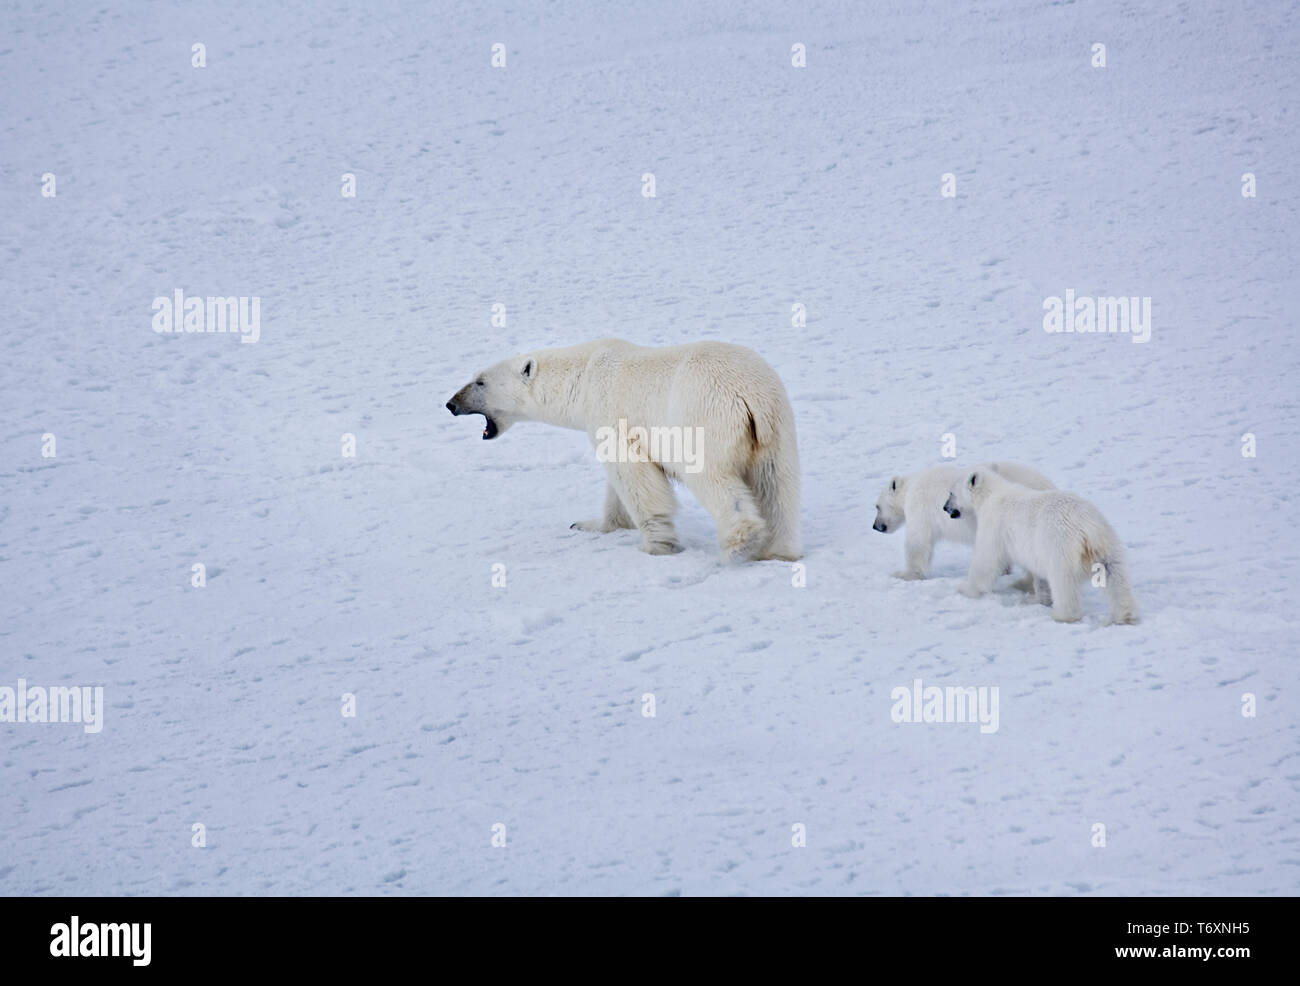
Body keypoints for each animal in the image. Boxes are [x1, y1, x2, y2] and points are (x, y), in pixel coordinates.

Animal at [446, 339, 801, 561]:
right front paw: (590, 524)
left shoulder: (611, 416)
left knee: (712, 476)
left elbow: (634, 477)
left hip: (703, 416)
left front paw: (655, 546)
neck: (582, 377)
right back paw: (778, 550)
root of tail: (748, 396)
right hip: (776, 427)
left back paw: (739, 543)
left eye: (479, 381)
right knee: (777, 484)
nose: (450, 403)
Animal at [873, 462, 1054, 582]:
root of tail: (1048, 484)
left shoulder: (921, 507)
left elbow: (918, 542)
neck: (911, 486)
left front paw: (904, 574)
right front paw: (1003, 570)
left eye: (877, 507)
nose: (875, 526)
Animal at [943, 468, 1139, 624]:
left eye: (951, 493)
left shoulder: (994, 526)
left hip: (1060, 546)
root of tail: (1087, 527)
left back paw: (1063, 615)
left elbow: (986, 559)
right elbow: (1038, 575)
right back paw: (1125, 615)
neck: (992, 494)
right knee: (1116, 576)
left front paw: (965, 589)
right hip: (1108, 543)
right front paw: (1035, 597)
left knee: (1063, 582)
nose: (945, 508)